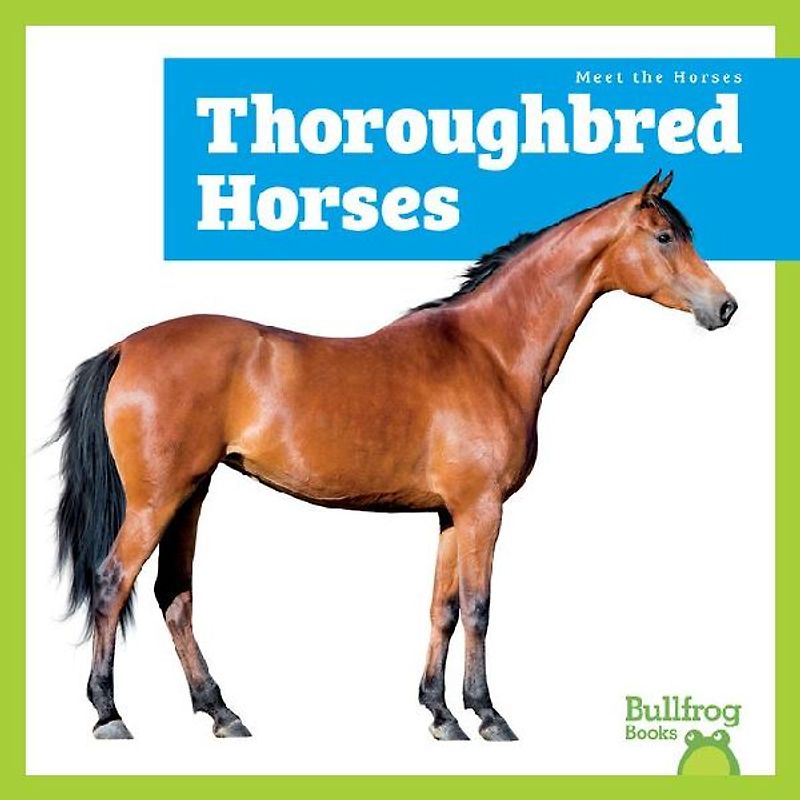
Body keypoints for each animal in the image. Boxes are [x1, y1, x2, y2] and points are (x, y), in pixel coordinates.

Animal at [54, 170, 737, 742]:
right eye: (665, 236)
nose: (725, 306)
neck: (489, 352)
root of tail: (126, 346)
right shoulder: (483, 509)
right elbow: (480, 608)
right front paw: (488, 715)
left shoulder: (451, 514)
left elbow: (443, 609)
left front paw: (440, 714)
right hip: (158, 498)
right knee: (113, 582)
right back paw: (110, 715)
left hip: (191, 494)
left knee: (175, 594)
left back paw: (221, 712)